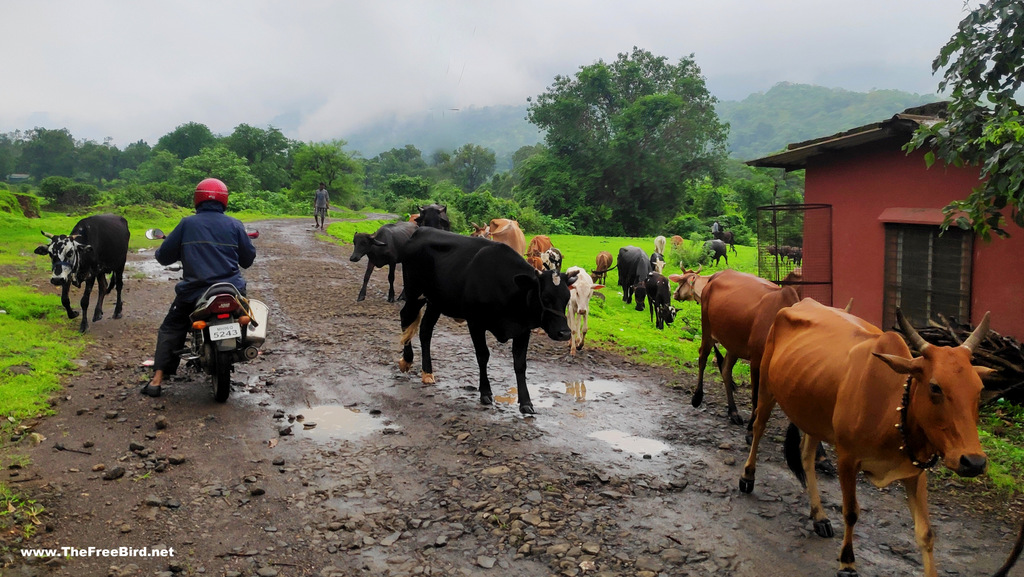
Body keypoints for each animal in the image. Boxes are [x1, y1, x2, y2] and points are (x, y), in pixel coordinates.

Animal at [397, 229, 577, 416]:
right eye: (546, 298)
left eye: (566, 298)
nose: (564, 333)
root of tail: (421, 230)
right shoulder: (476, 323)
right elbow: (483, 356)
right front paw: (485, 392)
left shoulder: (522, 329)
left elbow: (520, 364)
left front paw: (526, 402)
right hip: (414, 293)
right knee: (405, 317)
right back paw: (407, 360)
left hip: (436, 302)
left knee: (425, 330)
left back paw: (427, 372)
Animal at [737, 303, 1024, 577]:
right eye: (935, 387)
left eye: (979, 389)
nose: (973, 462)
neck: (891, 407)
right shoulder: (847, 459)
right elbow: (851, 512)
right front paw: (847, 563)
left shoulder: (915, 471)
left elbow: (926, 533)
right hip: (767, 387)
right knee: (759, 429)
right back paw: (748, 476)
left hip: (811, 411)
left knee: (806, 455)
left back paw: (819, 516)